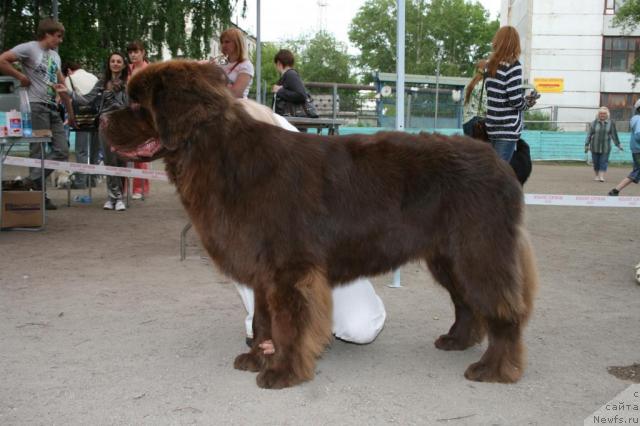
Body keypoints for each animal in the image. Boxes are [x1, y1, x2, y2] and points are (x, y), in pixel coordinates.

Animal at [102, 60, 536, 390]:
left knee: (503, 309)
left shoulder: (288, 267)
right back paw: (457, 341)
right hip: (448, 255)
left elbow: (289, 324)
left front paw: (282, 372)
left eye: (137, 103)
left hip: (478, 249)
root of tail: (499, 164)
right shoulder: (264, 269)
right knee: (467, 302)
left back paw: (495, 368)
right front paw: (257, 356)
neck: (216, 154)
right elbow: (263, 319)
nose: (103, 120)